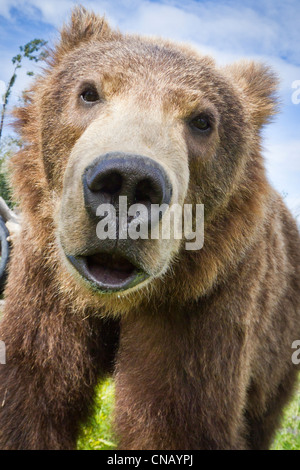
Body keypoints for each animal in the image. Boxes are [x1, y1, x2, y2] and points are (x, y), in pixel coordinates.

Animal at [0, 5, 300, 450]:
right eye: (89, 92)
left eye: (202, 120)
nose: (127, 180)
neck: (113, 303)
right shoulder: (43, 280)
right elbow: (29, 391)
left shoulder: (202, 303)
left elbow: (174, 418)